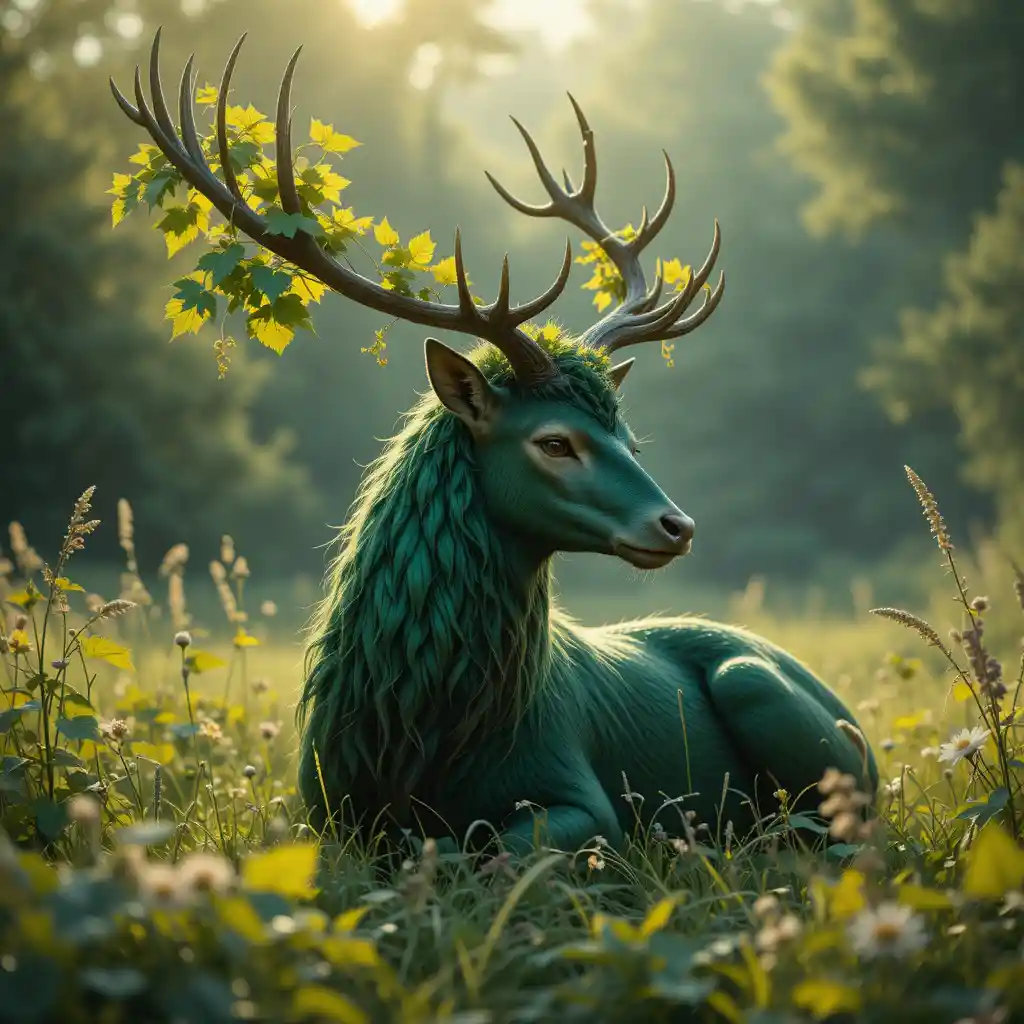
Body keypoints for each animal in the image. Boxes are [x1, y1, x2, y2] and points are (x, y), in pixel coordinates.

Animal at [112, 31, 877, 855]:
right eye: (556, 442)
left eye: (630, 440)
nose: (678, 526)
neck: (417, 730)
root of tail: (854, 722)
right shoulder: (325, 808)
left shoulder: (587, 799)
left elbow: (480, 851)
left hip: (771, 697)